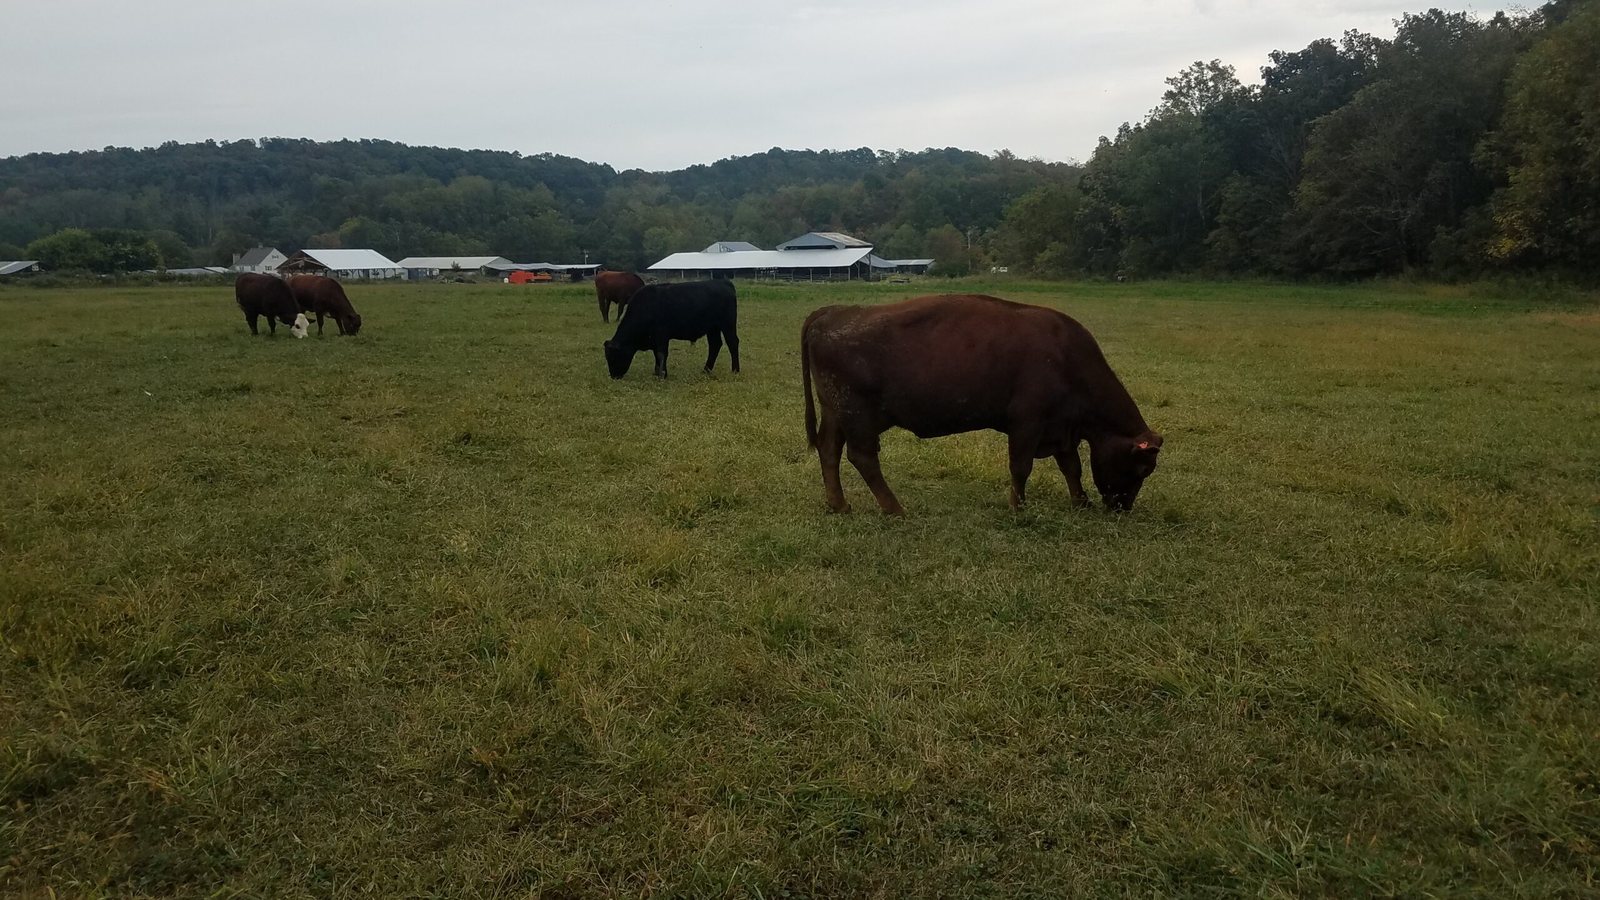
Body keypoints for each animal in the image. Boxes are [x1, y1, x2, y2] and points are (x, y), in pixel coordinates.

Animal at [603, 279, 739, 379]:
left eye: (613, 357)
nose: (614, 376)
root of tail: (723, 282)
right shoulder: (655, 340)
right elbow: (656, 355)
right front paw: (657, 372)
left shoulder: (662, 336)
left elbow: (661, 354)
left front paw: (662, 374)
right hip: (713, 328)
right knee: (715, 345)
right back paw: (706, 370)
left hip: (727, 325)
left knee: (732, 343)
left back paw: (735, 370)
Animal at [801, 293, 1162, 515]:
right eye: (1142, 468)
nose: (1122, 508)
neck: (1066, 357)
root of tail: (832, 312)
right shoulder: (1027, 423)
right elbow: (1021, 467)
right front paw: (1018, 507)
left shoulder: (1061, 428)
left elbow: (1071, 467)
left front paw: (1081, 502)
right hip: (858, 416)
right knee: (862, 457)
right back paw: (895, 509)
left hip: (836, 412)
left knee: (829, 449)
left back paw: (839, 505)